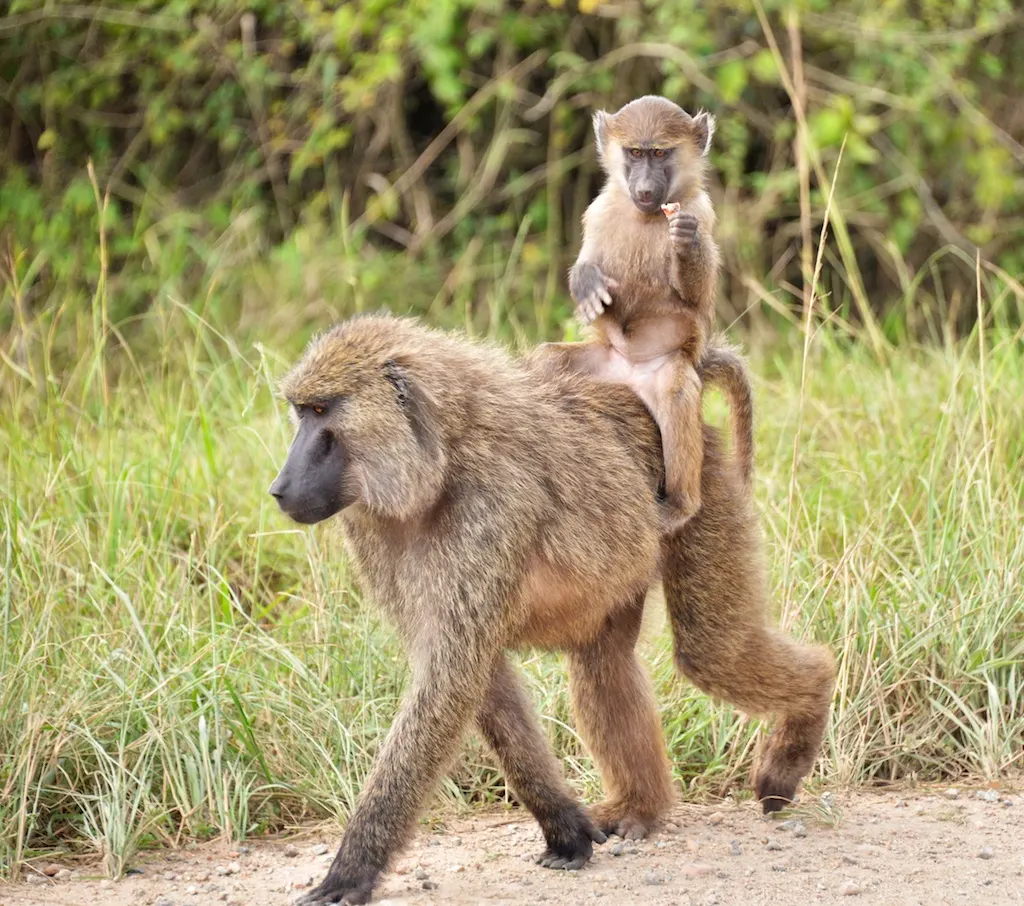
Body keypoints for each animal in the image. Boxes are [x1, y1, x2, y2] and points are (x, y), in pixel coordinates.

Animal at [269, 313, 834, 906]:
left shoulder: (492, 510)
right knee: (604, 663)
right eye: (302, 411)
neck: (439, 461)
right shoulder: (373, 534)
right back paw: (641, 808)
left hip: (703, 489)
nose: (280, 489)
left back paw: (800, 728)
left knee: (712, 652)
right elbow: (484, 683)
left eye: (321, 411)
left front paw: (349, 872)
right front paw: (566, 828)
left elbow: (451, 683)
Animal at [542, 95, 725, 534]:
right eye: (635, 153)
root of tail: (626, 374)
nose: (643, 188)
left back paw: (680, 506)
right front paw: (587, 282)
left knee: (676, 396)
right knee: (548, 361)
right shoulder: (599, 210)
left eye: (659, 153)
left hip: (663, 373)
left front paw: (687, 242)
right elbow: (589, 267)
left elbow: (697, 300)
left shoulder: (701, 210)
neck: (647, 215)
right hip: (600, 365)